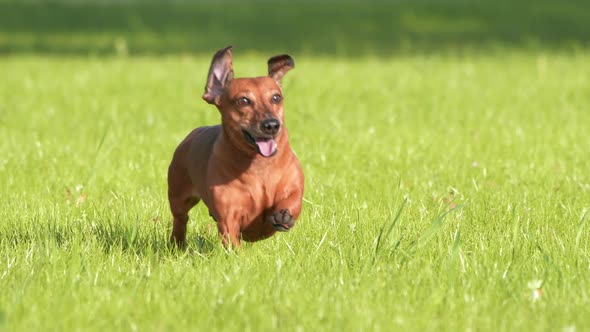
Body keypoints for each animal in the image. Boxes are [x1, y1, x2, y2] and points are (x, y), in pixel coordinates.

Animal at [168, 46, 302, 246]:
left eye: (276, 98)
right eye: (244, 101)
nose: (271, 125)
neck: (260, 166)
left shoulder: (293, 187)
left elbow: (293, 198)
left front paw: (284, 215)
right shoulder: (228, 219)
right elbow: (233, 241)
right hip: (178, 195)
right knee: (180, 219)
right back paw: (177, 243)